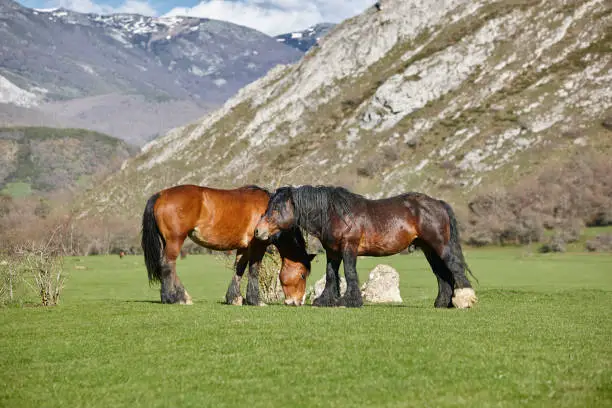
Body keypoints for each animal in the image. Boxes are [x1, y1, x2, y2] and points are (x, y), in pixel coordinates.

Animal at [140, 185, 314, 306]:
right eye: (302, 275)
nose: (298, 302)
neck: (270, 213)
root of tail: (161, 195)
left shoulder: (244, 247)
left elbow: (239, 268)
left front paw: (235, 298)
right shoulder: (258, 244)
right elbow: (254, 269)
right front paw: (255, 300)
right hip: (175, 240)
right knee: (168, 265)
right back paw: (175, 297)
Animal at [253, 186, 478, 310]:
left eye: (276, 208)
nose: (258, 231)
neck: (336, 213)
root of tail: (438, 203)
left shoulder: (349, 248)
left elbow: (349, 272)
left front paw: (350, 300)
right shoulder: (333, 252)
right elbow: (331, 275)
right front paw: (326, 300)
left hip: (440, 246)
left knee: (454, 268)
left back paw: (465, 300)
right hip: (429, 250)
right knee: (442, 274)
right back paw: (442, 303)